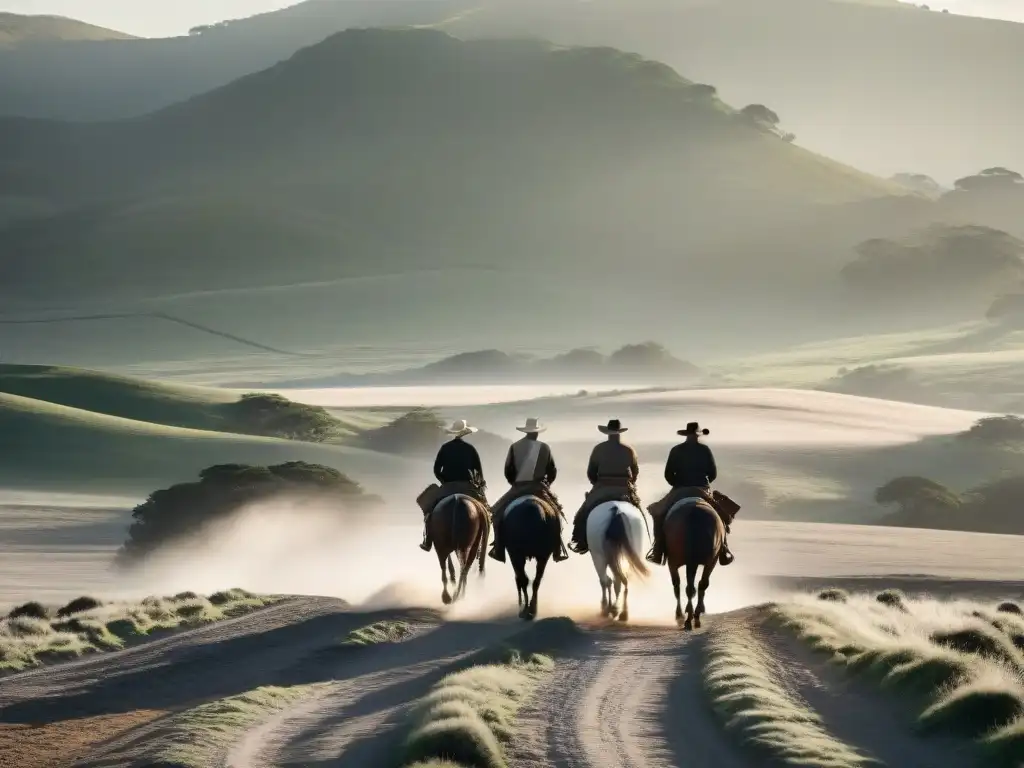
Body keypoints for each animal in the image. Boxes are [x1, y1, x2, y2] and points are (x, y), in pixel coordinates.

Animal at [663, 499, 737, 630]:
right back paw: (691, 617)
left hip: (685, 561)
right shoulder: (710, 561)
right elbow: (700, 584)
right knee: (695, 586)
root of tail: (694, 513)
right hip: (700, 561)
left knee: (687, 587)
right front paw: (694, 615)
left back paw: (687, 618)